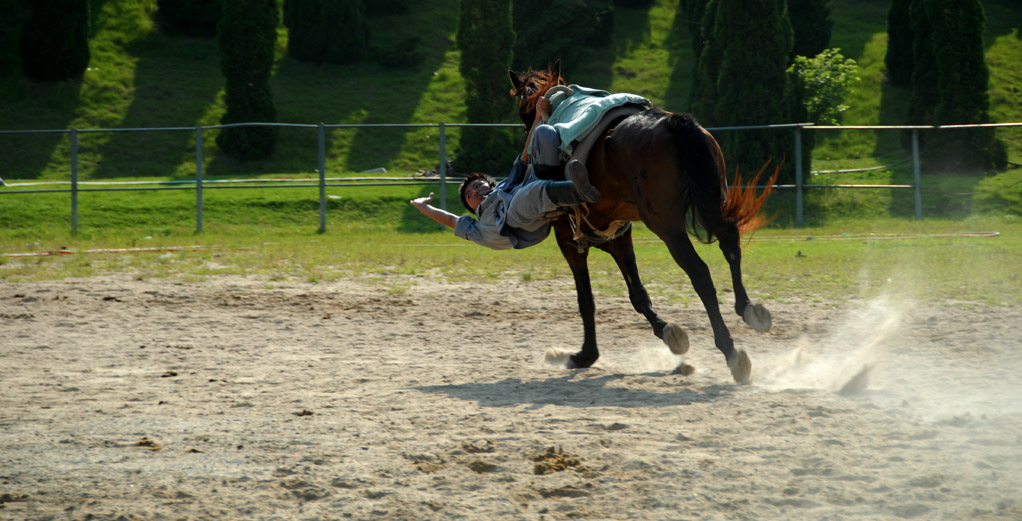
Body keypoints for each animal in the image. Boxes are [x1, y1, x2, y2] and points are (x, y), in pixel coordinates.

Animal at [506, 63, 776, 384]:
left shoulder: (569, 240)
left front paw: (586, 354)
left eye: (523, 110)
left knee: (700, 273)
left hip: (666, 225)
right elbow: (636, 294)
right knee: (730, 242)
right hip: (710, 202)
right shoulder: (617, 235)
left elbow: (586, 299)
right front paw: (667, 332)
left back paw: (731, 352)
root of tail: (672, 122)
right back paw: (748, 309)